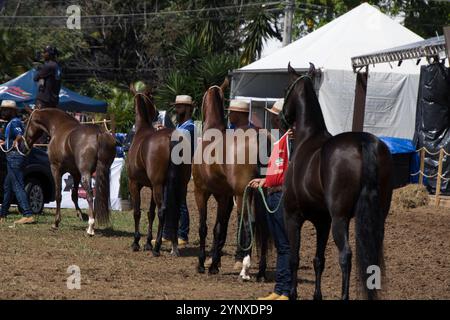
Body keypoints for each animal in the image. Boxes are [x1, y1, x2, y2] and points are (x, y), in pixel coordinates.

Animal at [127, 84, 189, 256]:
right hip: (180, 185)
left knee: (163, 211)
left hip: (159, 185)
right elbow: (151, 213)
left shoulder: (135, 184)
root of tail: (171, 138)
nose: (156, 113)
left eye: (151, 96)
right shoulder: (151, 186)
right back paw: (174, 247)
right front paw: (147, 242)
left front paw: (136, 242)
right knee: (177, 211)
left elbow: (137, 212)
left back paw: (157, 248)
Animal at [282, 63, 394, 300]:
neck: (308, 138)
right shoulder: (322, 221)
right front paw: (317, 296)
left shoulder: (293, 217)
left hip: (340, 219)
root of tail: (363, 142)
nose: (281, 117)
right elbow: (318, 260)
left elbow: (294, 258)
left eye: (286, 87)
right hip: (377, 217)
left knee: (346, 255)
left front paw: (293, 293)